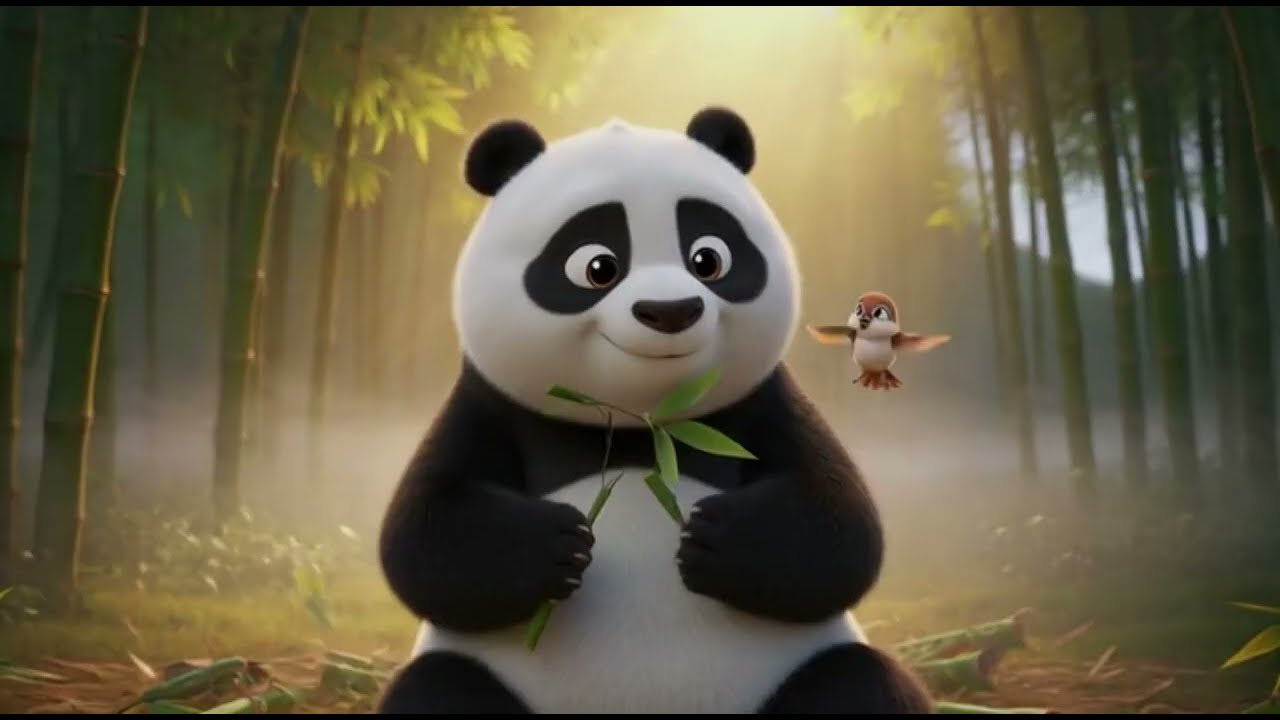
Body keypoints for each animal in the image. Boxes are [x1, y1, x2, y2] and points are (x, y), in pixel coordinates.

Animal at [375, 106, 933, 714]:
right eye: (597, 266)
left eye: (708, 259)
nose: (671, 310)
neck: (644, 420)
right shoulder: (490, 401)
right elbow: (424, 537)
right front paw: (554, 544)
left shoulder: (763, 399)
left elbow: (841, 527)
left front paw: (715, 537)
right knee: (437, 687)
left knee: (858, 681)